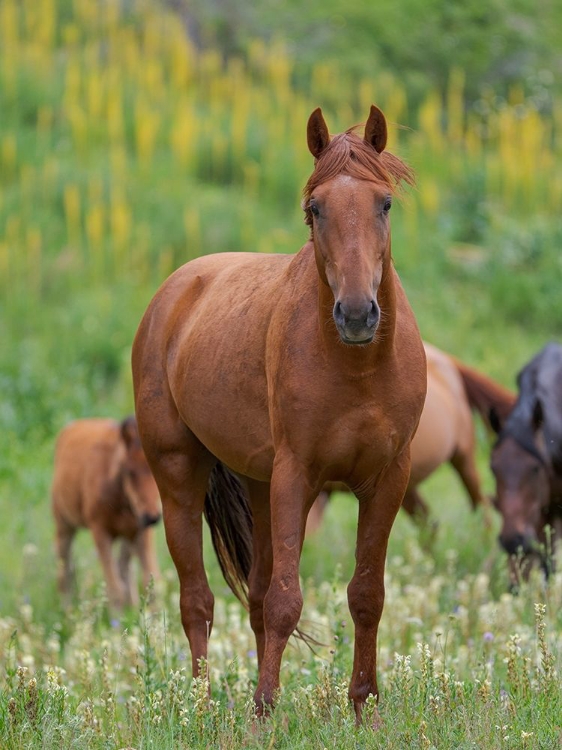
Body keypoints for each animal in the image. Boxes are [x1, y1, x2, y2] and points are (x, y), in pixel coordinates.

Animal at [51, 418, 161, 612]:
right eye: (129, 471)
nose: (151, 517)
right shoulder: (100, 532)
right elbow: (114, 588)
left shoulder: (141, 533)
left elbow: (149, 580)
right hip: (64, 525)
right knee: (65, 568)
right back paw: (67, 611)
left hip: (128, 537)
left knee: (125, 569)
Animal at [131, 106, 424, 724]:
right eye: (316, 208)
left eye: (384, 203)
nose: (357, 314)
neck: (357, 367)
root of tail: (177, 289)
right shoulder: (298, 476)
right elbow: (288, 600)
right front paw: (265, 709)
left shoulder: (387, 479)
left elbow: (366, 595)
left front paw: (363, 706)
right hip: (179, 477)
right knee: (198, 600)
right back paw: (201, 708)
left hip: (259, 485)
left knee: (256, 596)